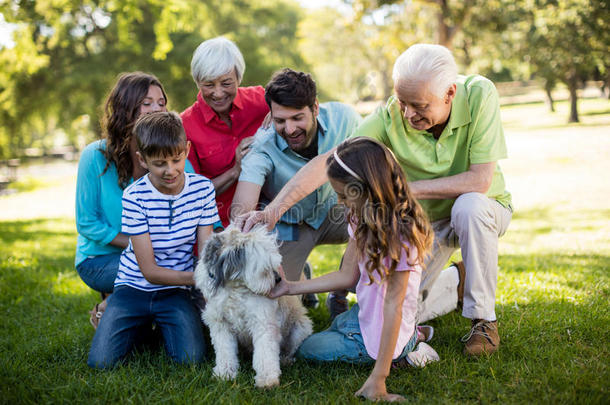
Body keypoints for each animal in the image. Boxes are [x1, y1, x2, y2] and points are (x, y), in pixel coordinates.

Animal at [194, 226, 312, 386]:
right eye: (265, 269)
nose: (278, 279)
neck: (234, 289)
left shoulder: (263, 323)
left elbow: (265, 354)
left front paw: (267, 379)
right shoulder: (221, 324)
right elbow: (225, 352)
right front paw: (224, 374)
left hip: (300, 329)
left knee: (289, 350)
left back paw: (285, 360)